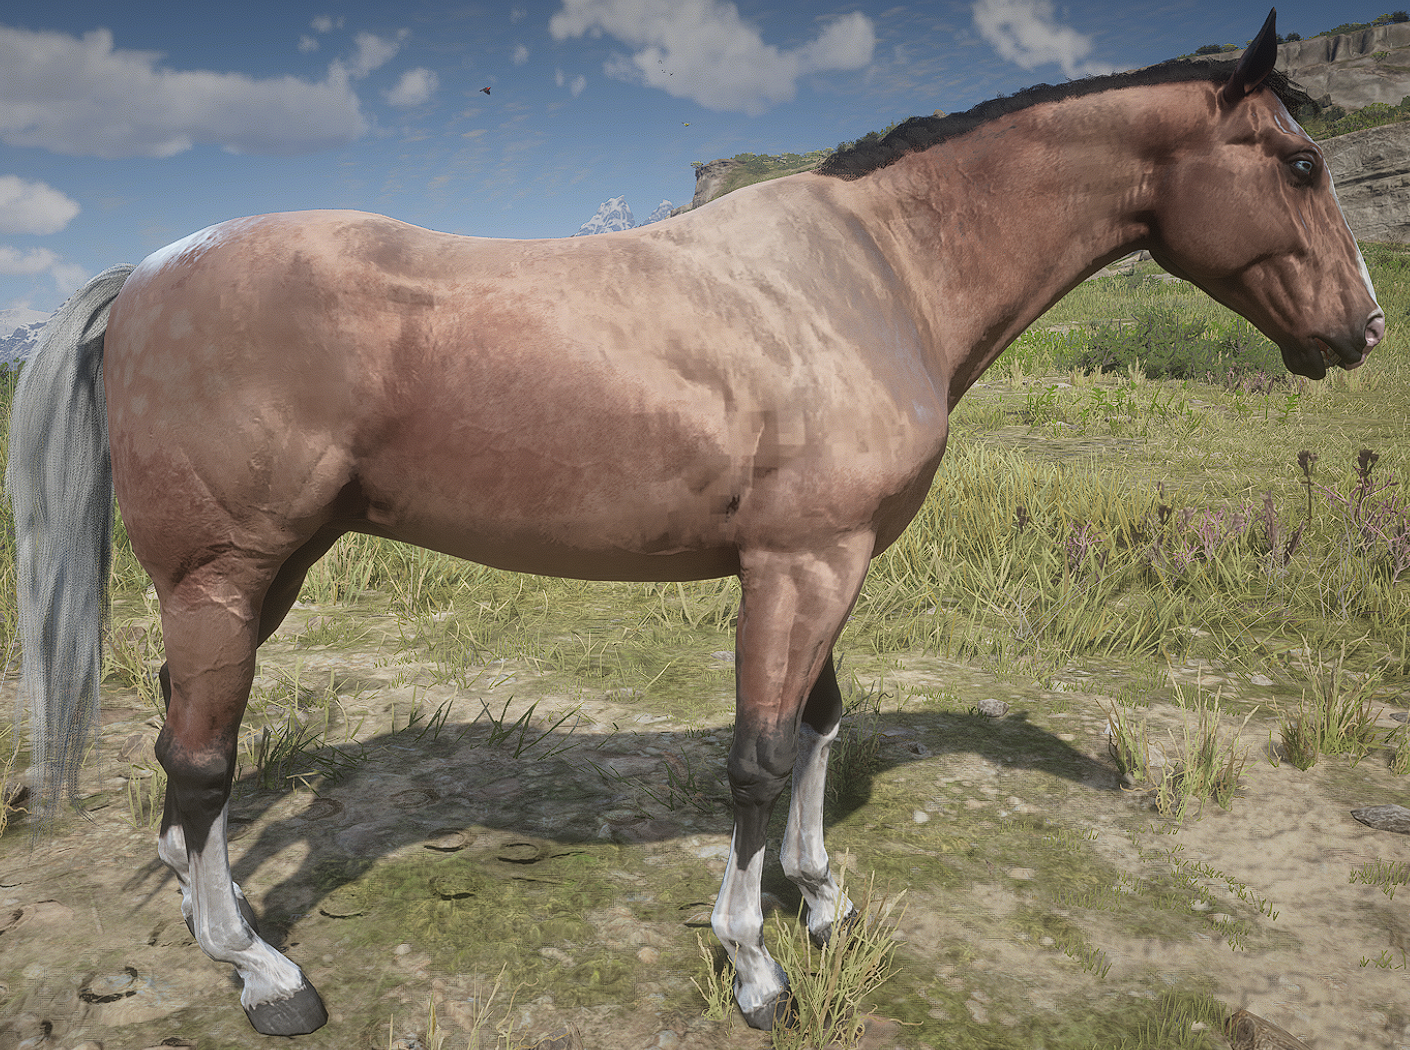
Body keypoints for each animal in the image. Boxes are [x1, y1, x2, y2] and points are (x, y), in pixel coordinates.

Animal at [7, 10, 1383, 1036]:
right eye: (1301, 165)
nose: (1362, 328)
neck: (875, 271)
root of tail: (153, 270)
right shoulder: (799, 564)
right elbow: (759, 757)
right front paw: (755, 963)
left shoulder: (831, 562)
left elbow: (820, 724)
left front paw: (819, 901)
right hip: (221, 574)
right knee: (200, 763)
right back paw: (260, 972)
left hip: (261, 574)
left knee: (189, 757)